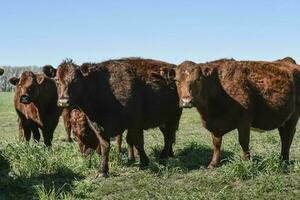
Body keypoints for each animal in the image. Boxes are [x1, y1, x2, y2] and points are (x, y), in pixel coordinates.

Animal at [43, 57, 182, 177]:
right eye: (57, 80)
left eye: (76, 80)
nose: (63, 102)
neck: (102, 88)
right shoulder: (97, 125)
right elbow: (105, 145)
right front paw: (103, 170)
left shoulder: (135, 123)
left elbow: (137, 142)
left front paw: (143, 162)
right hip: (164, 120)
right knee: (167, 135)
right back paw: (169, 154)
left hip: (174, 116)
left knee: (169, 135)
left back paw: (164, 155)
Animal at [172, 59, 300, 169]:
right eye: (176, 80)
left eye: (198, 79)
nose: (186, 101)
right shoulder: (215, 125)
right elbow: (216, 143)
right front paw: (214, 163)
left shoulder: (244, 120)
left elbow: (243, 141)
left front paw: (246, 162)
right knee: (284, 135)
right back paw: (282, 159)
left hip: (293, 116)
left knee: (288, 135)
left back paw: (284, 160)